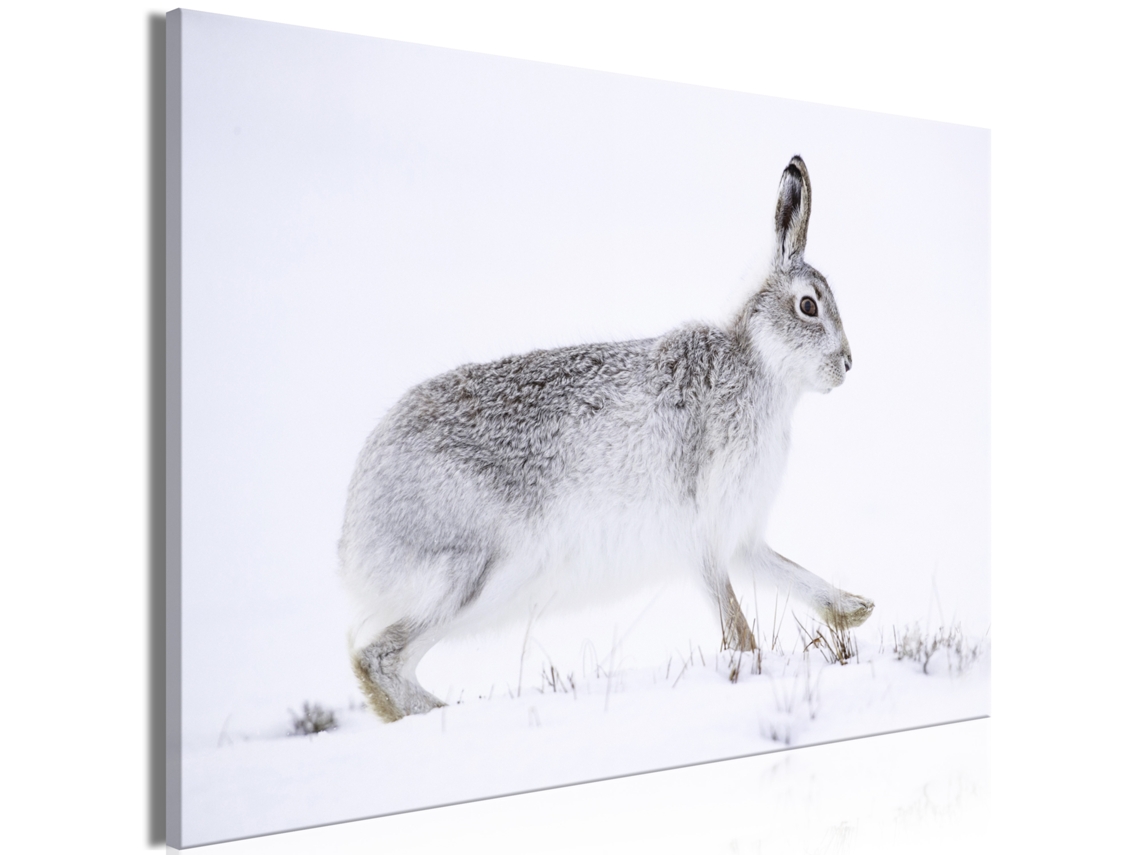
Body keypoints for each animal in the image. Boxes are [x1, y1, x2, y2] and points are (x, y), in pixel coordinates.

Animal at [338, 155, 873, 722]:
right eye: (809, 307)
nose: (847, 364)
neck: (759, 366)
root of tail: (352, 536)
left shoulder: (741, 535)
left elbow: (788, 572)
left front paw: (855, 610)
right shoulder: (702, 531)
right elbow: (735, 622)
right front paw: (752, 666)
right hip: (476, 573)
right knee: (375, 657)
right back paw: (449, 713)